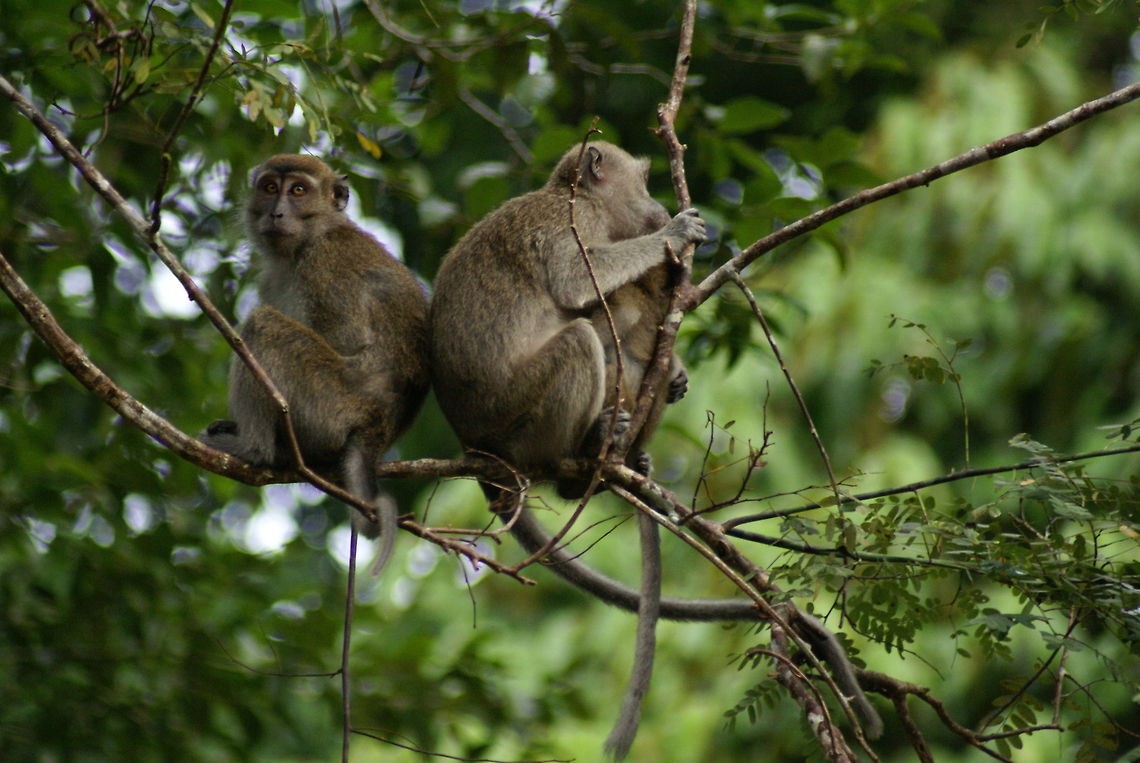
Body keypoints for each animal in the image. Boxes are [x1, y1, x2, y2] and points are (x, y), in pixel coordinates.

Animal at [200, 154, 430, 575]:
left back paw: (254, 449)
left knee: (264, 325)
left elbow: (347, 342)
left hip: (328, 406)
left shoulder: (326, 265)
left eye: (298, 191)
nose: (276, 212)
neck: (312, 237)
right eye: (270, 188)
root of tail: (376, 425)